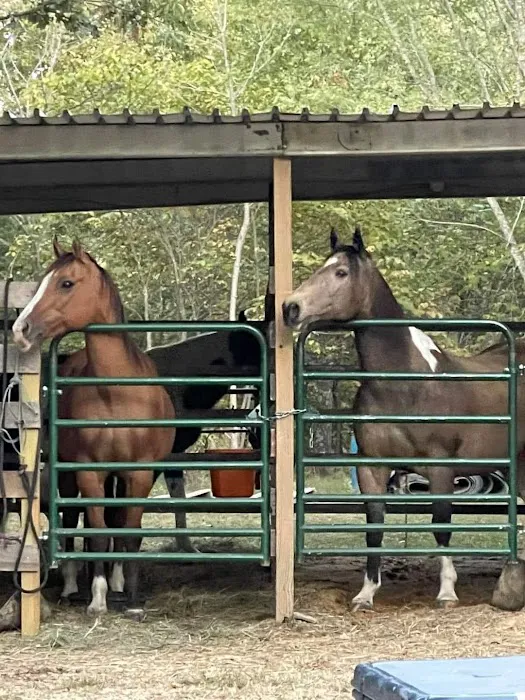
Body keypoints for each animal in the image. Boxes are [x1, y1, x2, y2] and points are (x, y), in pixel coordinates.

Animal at [12, 238, 176, 619]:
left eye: (66, 283)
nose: (20, 330)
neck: (118, 393)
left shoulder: (140, 473)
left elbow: (129, 532)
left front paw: (132, 600)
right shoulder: (89, 471)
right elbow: (98, 531)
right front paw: (97, 598)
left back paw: (116, 581)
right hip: (71, 476)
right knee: (75, 519)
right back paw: (75, 585)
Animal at [282, 226, 525, 612]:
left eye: (341, 273)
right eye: (322, 266)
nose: (291, 308)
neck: (402, 382)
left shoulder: (441, 469)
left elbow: (441, 524)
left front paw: (447, 591)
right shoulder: (372, 467)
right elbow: (374, 527)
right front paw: (366, 593)